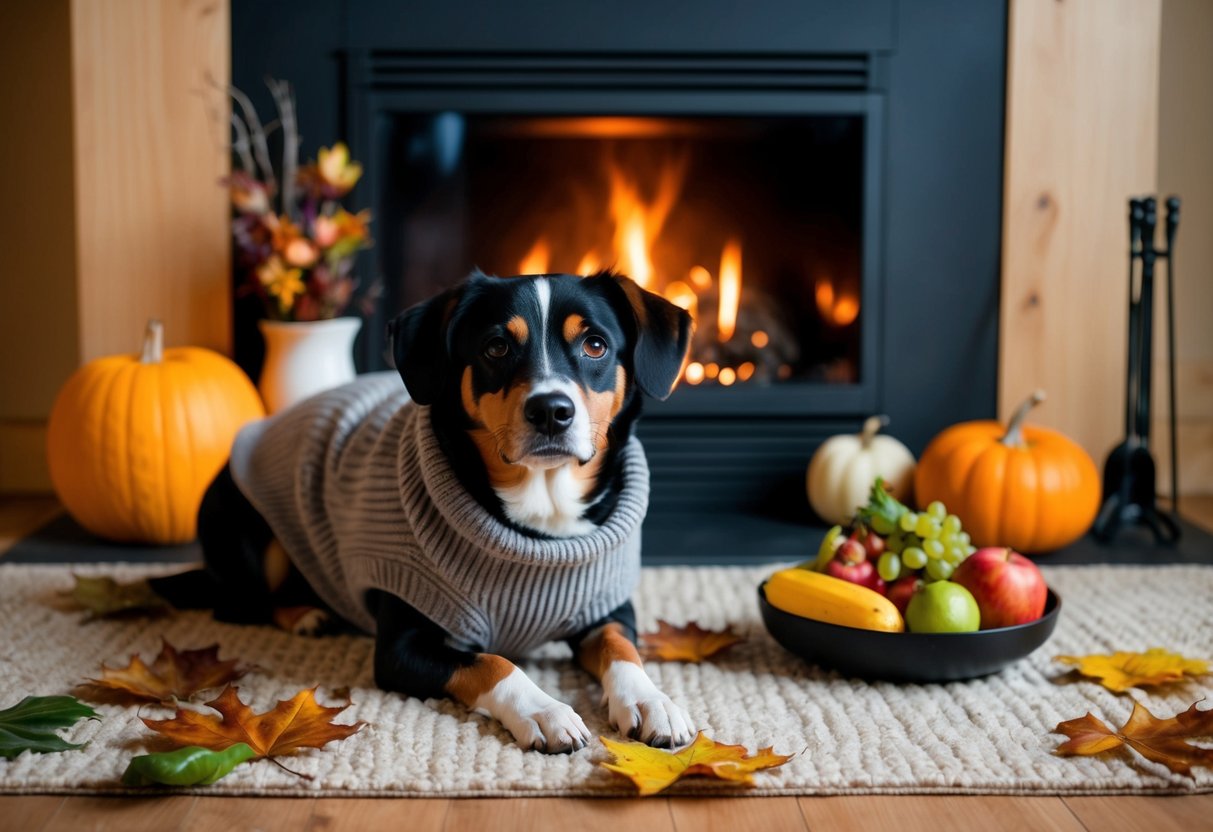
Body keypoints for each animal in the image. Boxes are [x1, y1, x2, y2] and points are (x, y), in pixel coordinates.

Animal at [151, 274, 698, 756]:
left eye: (595, 345)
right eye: (496, 348)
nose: (550, 410)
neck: (539, 523)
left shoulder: (608, 608)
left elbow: (622, 650)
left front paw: (651, 700)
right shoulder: (401, 645)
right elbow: (494, 664)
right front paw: (544, 710)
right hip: (248, 531)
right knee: (240, 602)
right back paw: (305, 613)